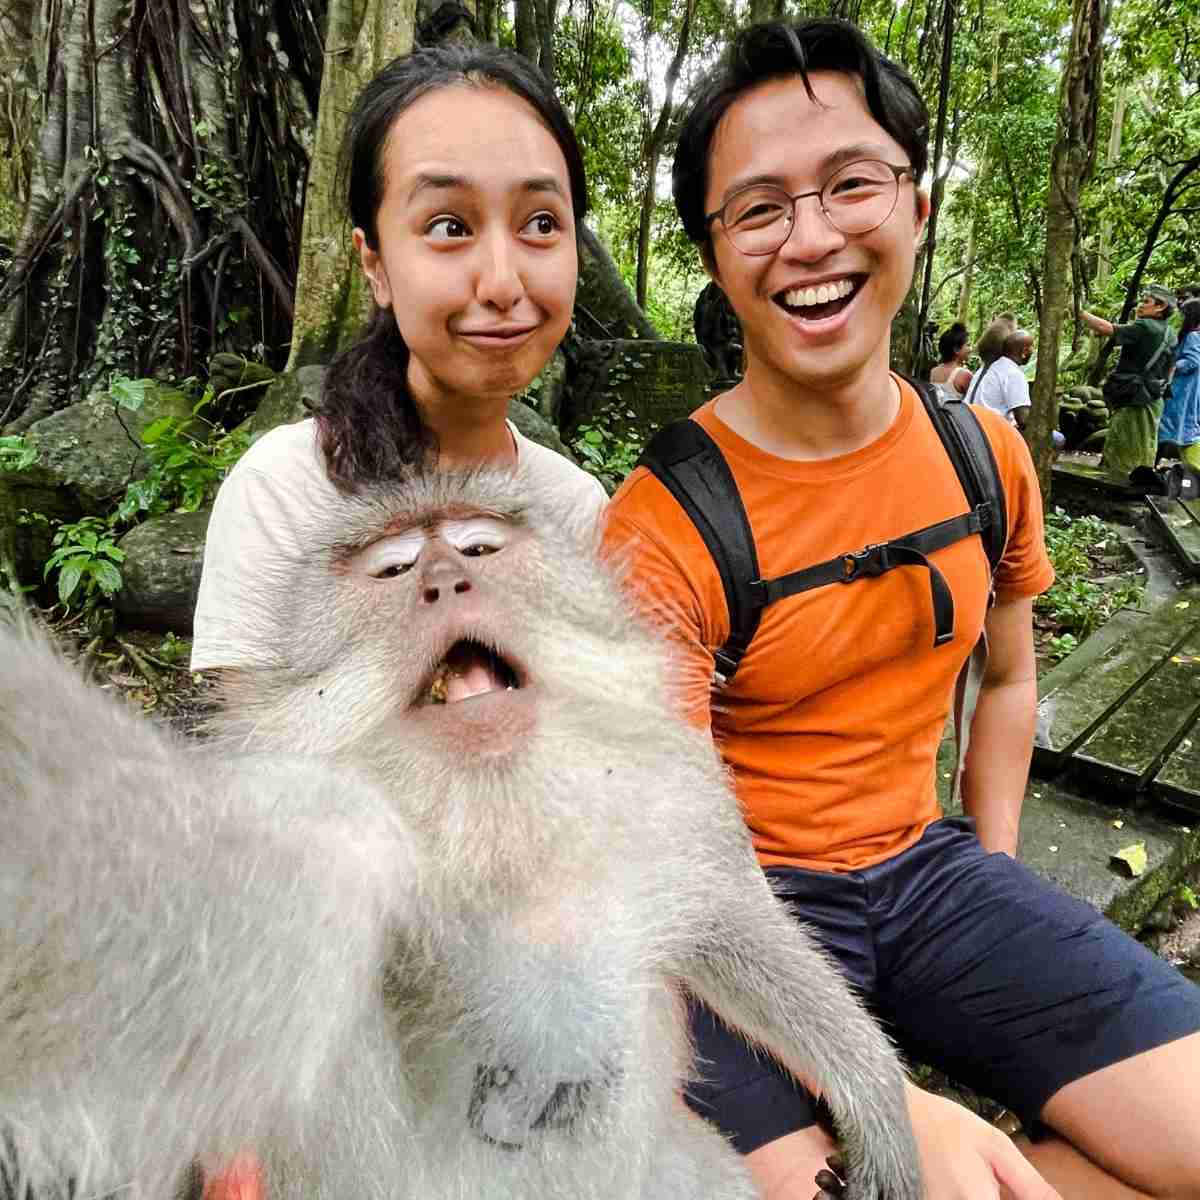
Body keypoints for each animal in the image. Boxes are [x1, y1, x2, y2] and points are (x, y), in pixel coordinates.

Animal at [0, 463, 921, 1200]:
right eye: (395, 567)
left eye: (478, 548)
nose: (444, 581)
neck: (497, 815)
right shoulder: (317, 834)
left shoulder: (671, 783)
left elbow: (729, 923)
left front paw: (875, 1096)